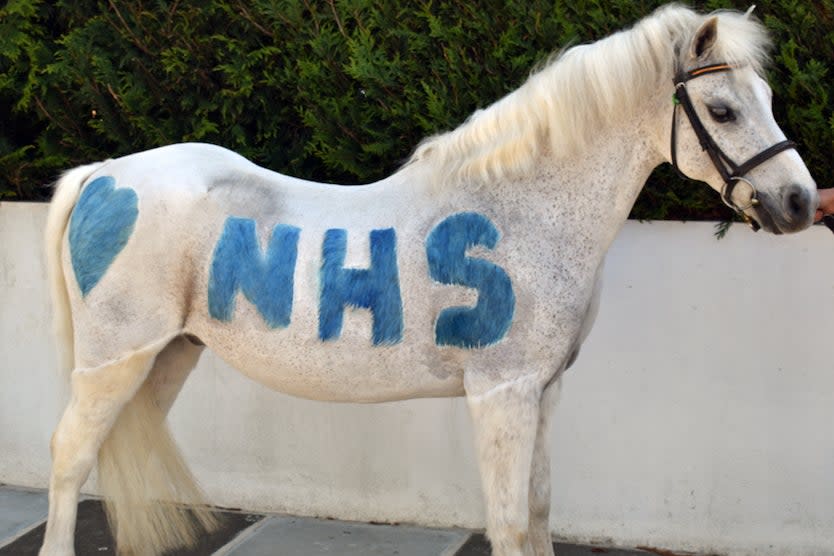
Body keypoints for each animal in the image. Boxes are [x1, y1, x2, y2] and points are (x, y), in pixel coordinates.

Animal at [39, 5, 812, 556]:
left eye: (768, 95)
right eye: (722, 111)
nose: (800, 202)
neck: (519, 209)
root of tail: (102, 175)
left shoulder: (544, 391)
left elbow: (538, 512)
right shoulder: (500, 393)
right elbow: (509, 523)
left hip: (168, 355)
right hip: (114, 360)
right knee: (71, 459)